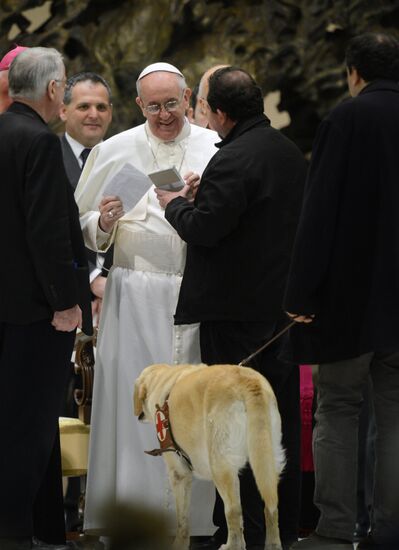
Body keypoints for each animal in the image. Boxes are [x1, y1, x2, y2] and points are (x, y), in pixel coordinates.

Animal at [136, 366, 286, 550]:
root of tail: (248, 381)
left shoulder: (178, 473)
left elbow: (183, 519)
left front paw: (179, 544)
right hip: (268, 458)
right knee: (270, 508)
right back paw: (272, 544)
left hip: (220, 465)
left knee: (233, 510)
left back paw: (231, 546)